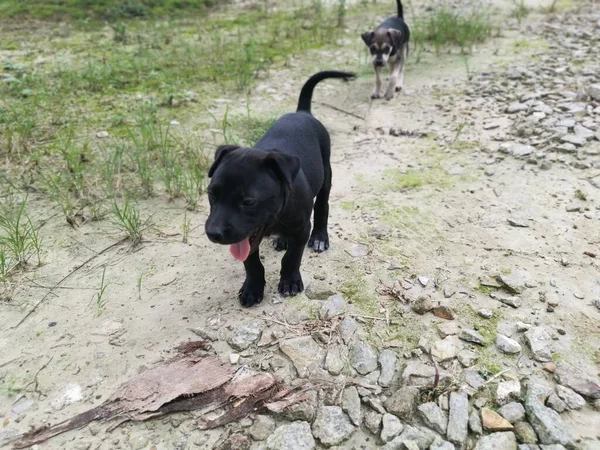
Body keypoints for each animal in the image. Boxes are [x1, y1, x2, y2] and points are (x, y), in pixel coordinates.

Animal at [206, 72, 356, 308]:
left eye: (248, 202)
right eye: (211, 194)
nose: (213, 233)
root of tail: (302, 112)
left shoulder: (302, 228)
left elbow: (292, 257)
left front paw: (290, 282)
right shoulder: (247, 236)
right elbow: (252, 263)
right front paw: (252, 288)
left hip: (326, 174)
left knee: (322, 207)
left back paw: (320, 237)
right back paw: (282, 239)